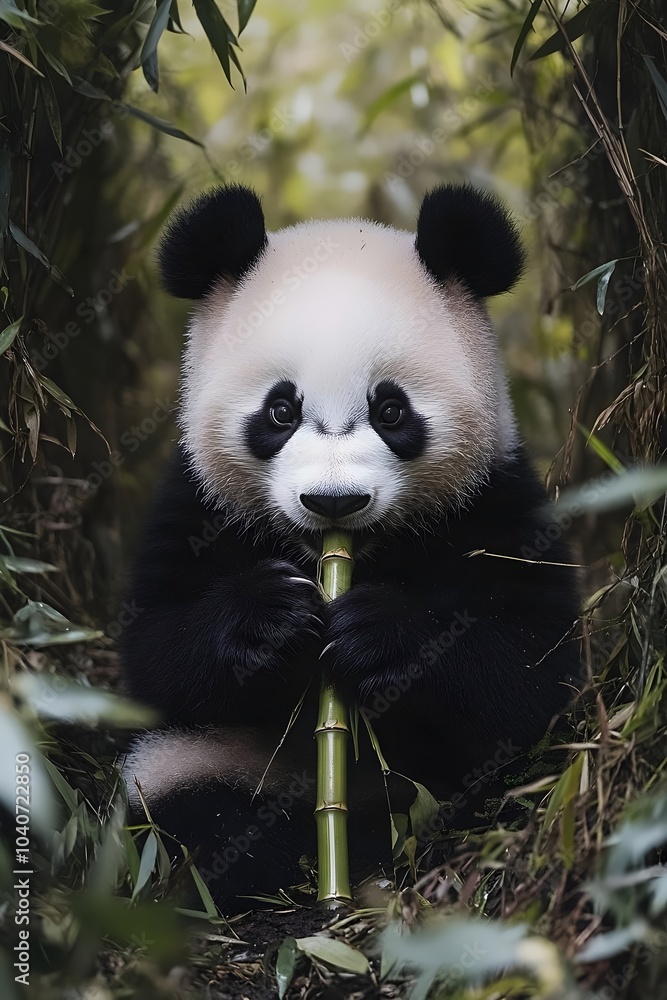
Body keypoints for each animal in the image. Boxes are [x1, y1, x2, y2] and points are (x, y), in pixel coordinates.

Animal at [121, 183, 579, 909]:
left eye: (390, 410)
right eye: (280, 410)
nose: (333, 502)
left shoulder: (494, 502)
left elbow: (535, 665)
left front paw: (380, 634)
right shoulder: (196, 504)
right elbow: (154, 652)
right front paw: (267, 620)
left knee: (513, 779)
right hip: (204, 762)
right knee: (188, 813)